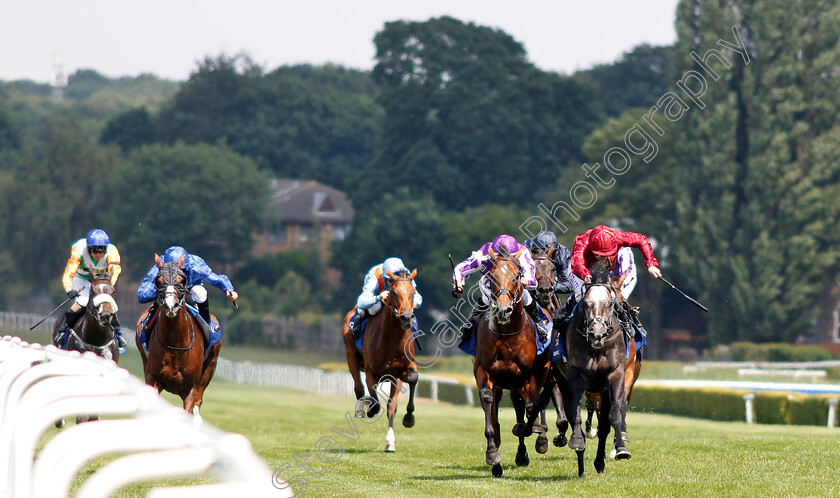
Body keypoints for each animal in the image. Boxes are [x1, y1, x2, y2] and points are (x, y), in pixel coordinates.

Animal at [135, 253, 221, 420]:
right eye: (158, 281)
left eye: (182, 280)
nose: (171, 306)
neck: (175, 344)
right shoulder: (153, 379)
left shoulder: (190, 388)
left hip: (210, 366)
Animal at [342, 270, 420, 454]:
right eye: (394, 292)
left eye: (413, 292)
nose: (407, 318)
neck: (392, 339)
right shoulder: (371, 372)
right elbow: (376, 403)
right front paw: (370, 410)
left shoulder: (400, 372)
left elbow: (395, 402)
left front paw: (406, 422)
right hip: (351, 354)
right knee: (358, 387)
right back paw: (362, 407)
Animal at [472, 247, 552, 476]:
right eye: (491, 277)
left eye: (517, 276)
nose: (503, 309)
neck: (507, 334)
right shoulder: (483, 371)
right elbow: (489, 405)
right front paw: (493, 454)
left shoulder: (531, 375)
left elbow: (531, 409)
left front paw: (527, 435)